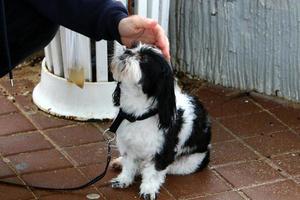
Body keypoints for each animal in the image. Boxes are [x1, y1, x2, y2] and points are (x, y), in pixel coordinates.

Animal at [109, 43, 211, 200]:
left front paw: (148, 189)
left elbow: (153, 172)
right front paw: (124, 179)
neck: (138, 114)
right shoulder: (128, 144)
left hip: (188, 164)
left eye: (144, 59)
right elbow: (129, 164)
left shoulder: (162, 151)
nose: (127, 51)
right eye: (131, 47)